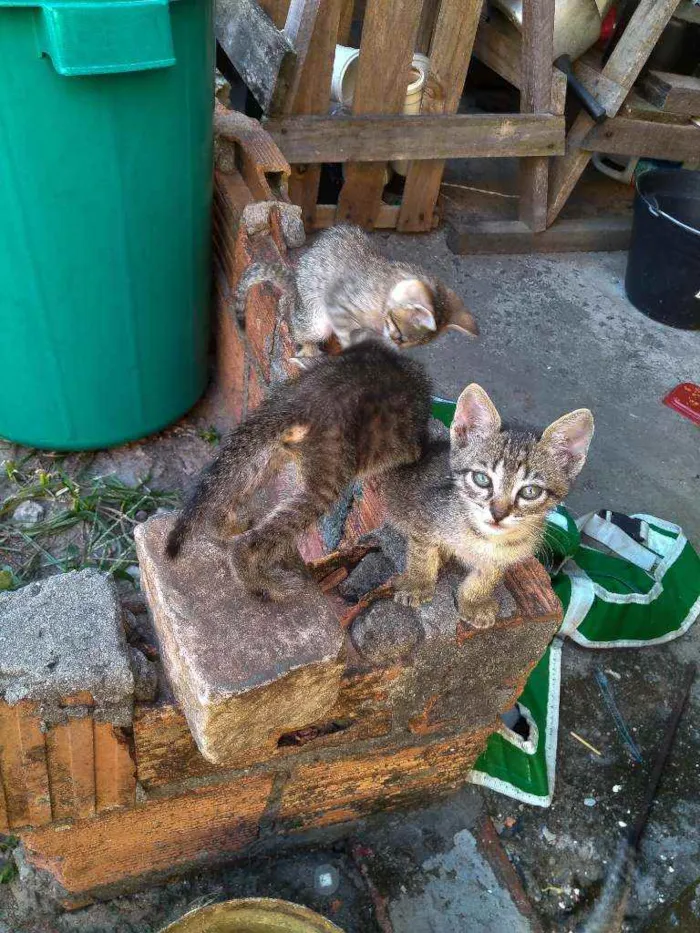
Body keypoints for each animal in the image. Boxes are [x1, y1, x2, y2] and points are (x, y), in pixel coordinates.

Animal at [167, 334, 432, 596]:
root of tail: (301, 398)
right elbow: (409, 452)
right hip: (328, 471)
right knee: (251, 542)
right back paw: (263, 583)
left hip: (273, 450)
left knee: (232, 486)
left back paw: (225, 527)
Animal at [235, 222, 476, 360]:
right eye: (400, 334)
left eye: (411, 343)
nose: (397, 344)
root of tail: (295, 281)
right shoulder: (338, 302)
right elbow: (347, 334)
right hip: (313, 315)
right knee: (295, 316)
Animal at [380, 382, 592, 628]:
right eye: (482, 479)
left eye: (530, 492)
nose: (498, 514)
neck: (483, 537)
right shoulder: (424, 518)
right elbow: (422, 554)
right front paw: (418, 583)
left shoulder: (505, 557)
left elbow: (487, 576)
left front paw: (474, 602)